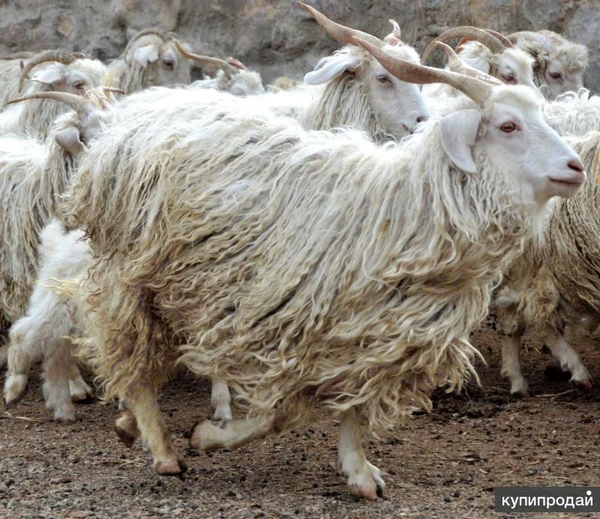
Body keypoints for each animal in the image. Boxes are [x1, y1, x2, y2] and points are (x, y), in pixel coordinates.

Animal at [56, 40, 580, 500]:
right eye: (509, 125)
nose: (576, 166)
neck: (405, 207)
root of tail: (124, 126)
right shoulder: (276, 327)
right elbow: (278, 414)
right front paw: (209, 435)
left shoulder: (369, 336)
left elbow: (348, 409)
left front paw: (359, 471)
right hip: (130, 276)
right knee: (130, 357)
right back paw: (160, 446)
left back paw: (129, 424)